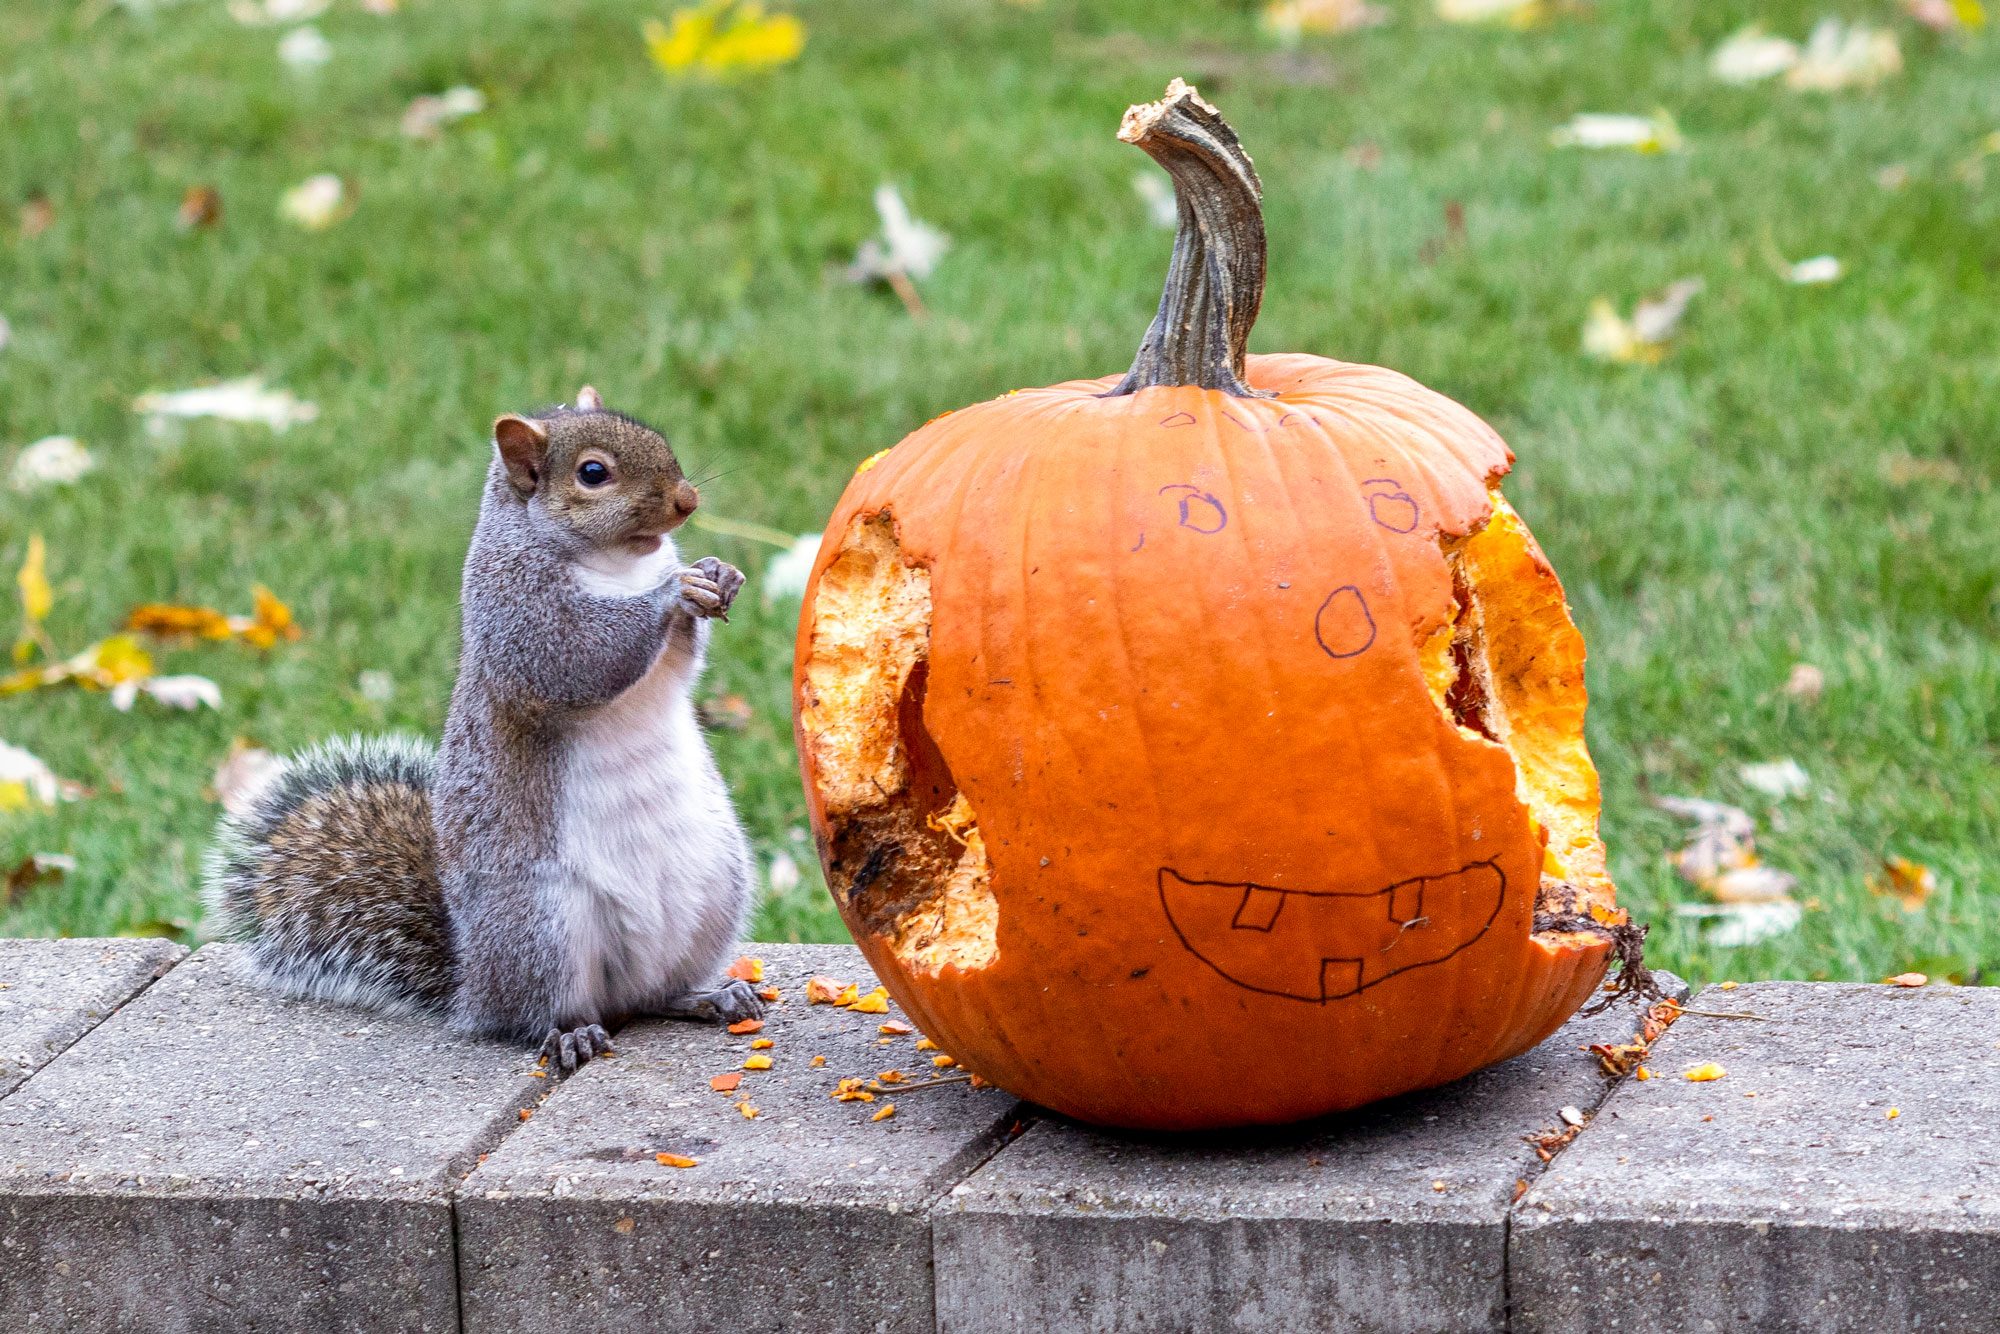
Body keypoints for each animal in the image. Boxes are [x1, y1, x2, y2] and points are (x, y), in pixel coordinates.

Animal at [203, 386, 760, 1072]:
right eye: (593, 473)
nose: (688, 501)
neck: (618, 562)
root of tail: (474, 984)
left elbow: (680, 664)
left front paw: (718, 573)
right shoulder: (518, 613)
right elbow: (579, 657)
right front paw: (671, 594)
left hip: (718, 892)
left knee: (656, 994)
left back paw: (708, 996)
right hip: (541, 926)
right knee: (541, 1013)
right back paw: (571, 1032)